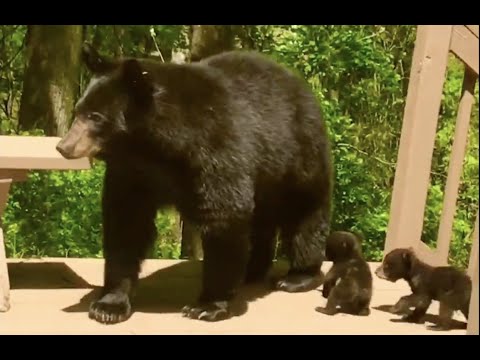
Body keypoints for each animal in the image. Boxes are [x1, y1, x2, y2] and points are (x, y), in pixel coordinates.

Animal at [57, 43, 334, 324]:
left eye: (96, 117)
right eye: (79, 111)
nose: (64, 147)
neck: (156, 146)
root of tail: (298, 82)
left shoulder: (214, 150)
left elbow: (224, 215)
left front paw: (207, 305)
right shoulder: (133, 172)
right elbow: (126, 223)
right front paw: (109, 305)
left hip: (297, 155)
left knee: (304, 212)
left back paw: (298, 275)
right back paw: (252, 270)